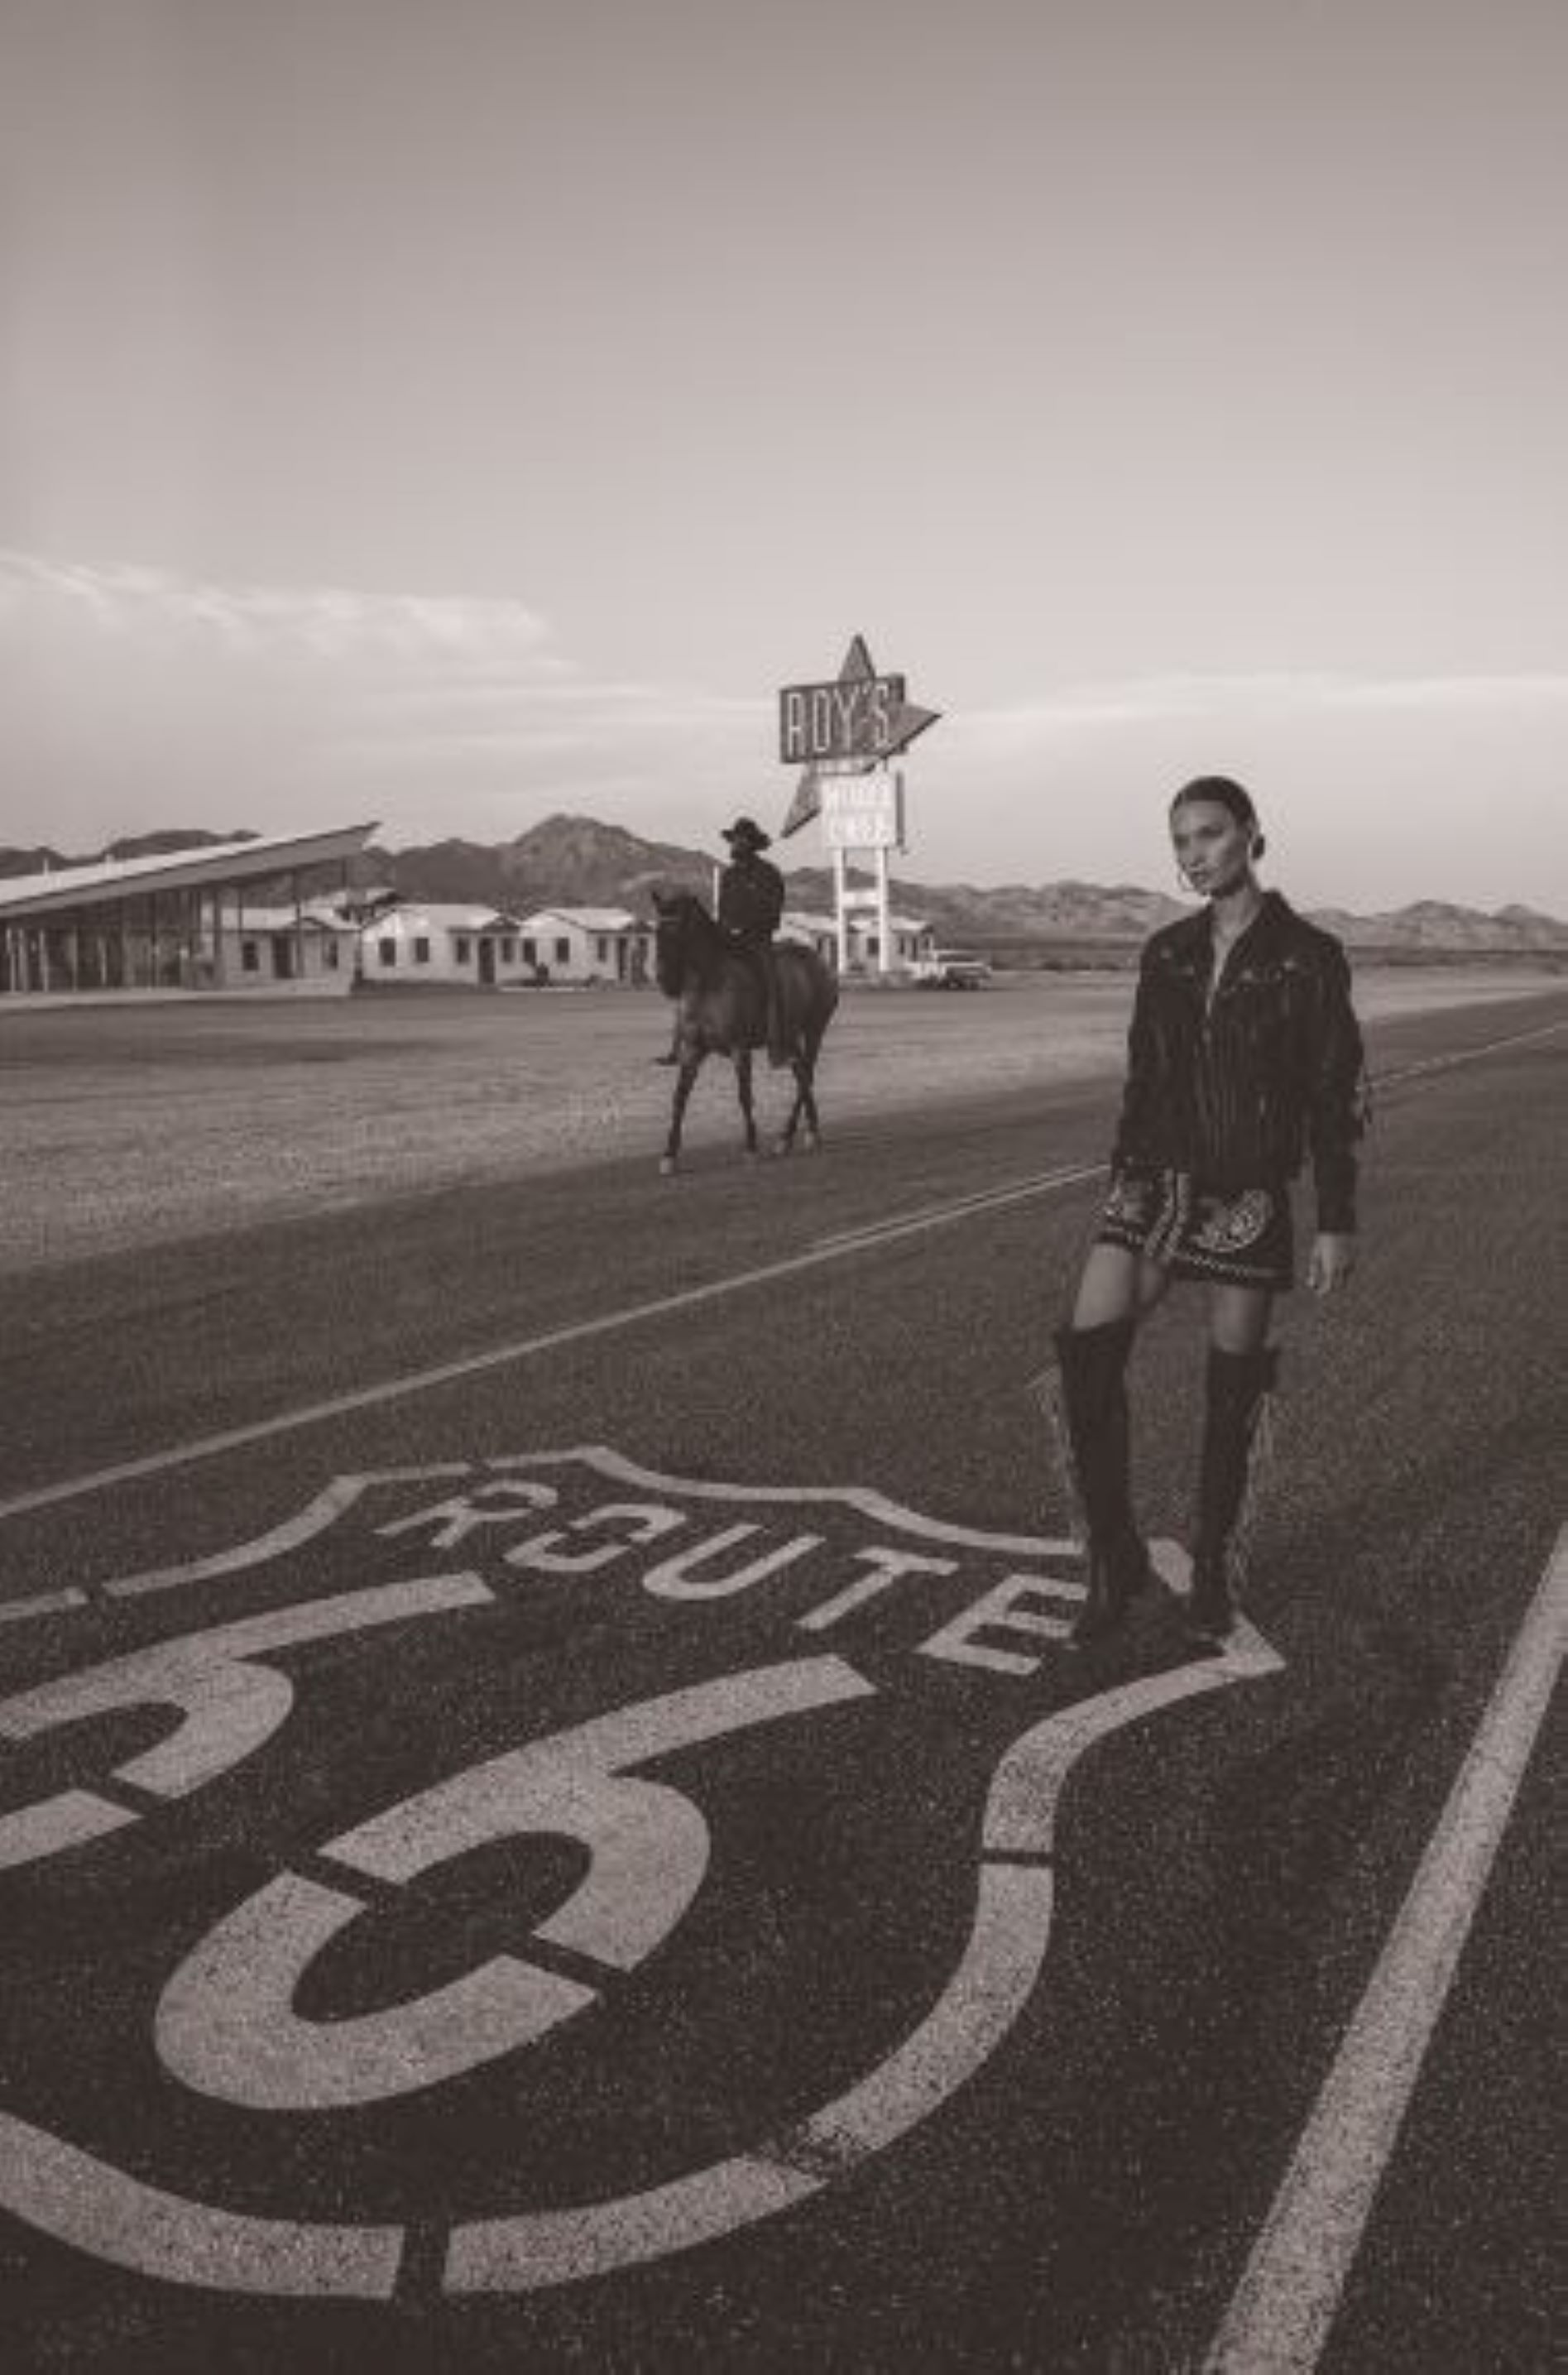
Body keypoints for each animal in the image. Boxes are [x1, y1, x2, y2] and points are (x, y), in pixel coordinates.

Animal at [650, 893, 841, 1178]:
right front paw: (669, 1155)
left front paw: (750, 1148)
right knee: (802, 1075)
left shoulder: (740, 1049)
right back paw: (804, 1133)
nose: (664, 980)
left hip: (814, 1030)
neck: (708, 984)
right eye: (656, 932)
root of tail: (820, 962)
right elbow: (680, 1098)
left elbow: (744, 1096)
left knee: (806, 1077)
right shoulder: (693, 1050)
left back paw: (787, 1137)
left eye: (677, 931)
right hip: (790, 1038)